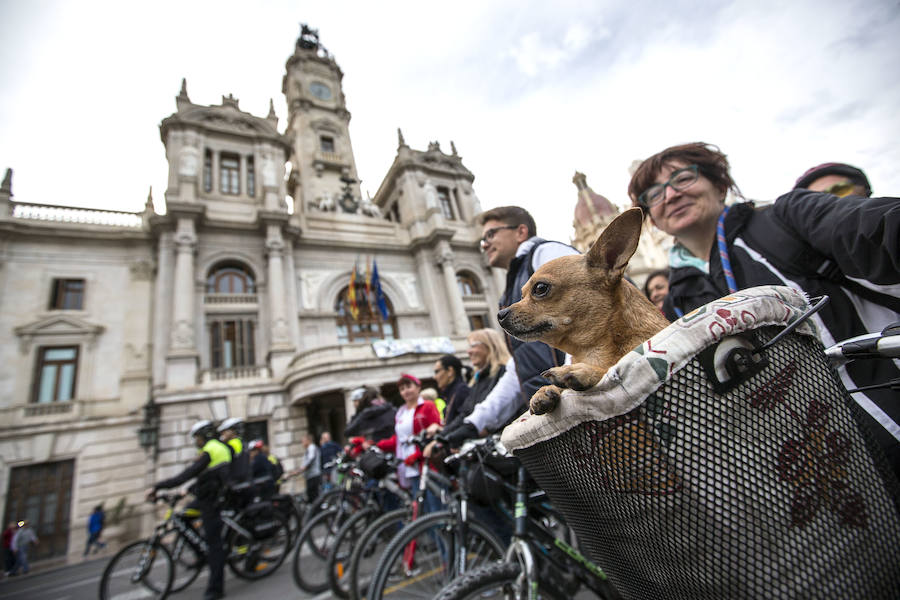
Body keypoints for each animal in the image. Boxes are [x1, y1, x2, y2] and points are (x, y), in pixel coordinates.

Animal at [500, 206, 668, 412]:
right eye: (521, 294)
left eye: (540, 288)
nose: (500, 314)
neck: (590, 352)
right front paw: (546, 390)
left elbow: (613, 371)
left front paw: (582, 371)